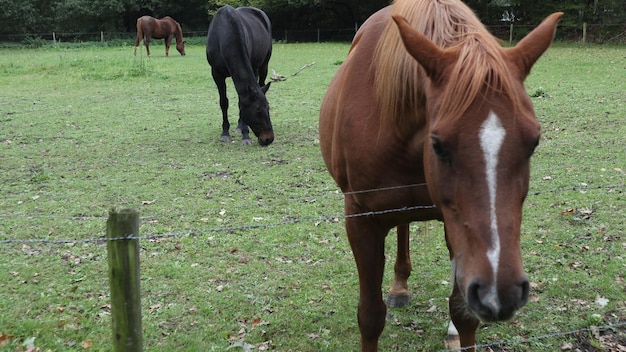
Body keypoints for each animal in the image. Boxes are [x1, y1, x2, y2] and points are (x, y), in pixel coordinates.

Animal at [206, 5, 272, 146]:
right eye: (257, 109)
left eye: (268, 107)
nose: (269, 139)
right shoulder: (216, 74)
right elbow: (223, 102)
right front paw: (225, 133)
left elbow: (241, 102)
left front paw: (245, 135)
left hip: (263, 66)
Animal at [320, 0, 560, 350]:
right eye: (438, 145)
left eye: (533, 142)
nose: (501, 292)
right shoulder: (360, 220)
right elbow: (370, 316)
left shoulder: (456, 226)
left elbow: (463, 313)